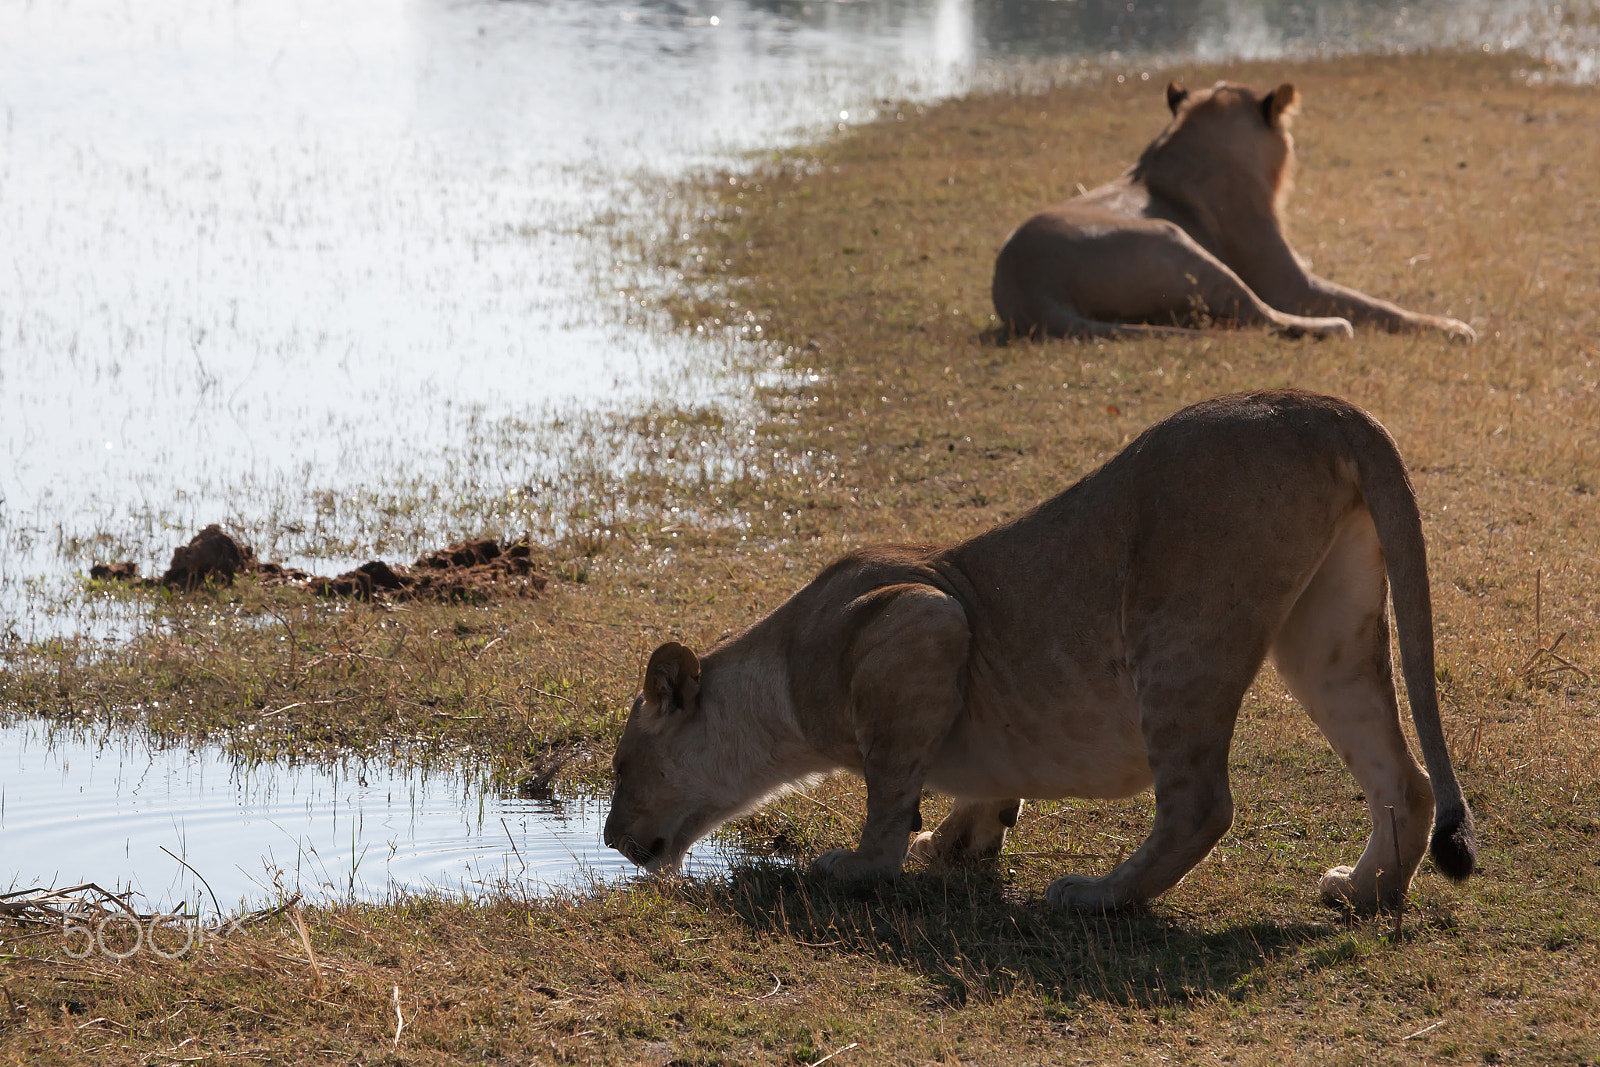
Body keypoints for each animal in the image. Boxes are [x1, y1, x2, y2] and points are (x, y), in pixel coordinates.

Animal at [604, 390, 1479, 913]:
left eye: (618, 766)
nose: (610, 839)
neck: (775, 683)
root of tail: (1322, 406)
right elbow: (976, 784)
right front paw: (960, 837)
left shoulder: (923, 619)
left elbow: (886, 792)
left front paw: (858, 865)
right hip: (1324, 636)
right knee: (1403, 777)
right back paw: (1365, 890)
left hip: (1177, 634)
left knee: (1201, 804)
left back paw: (1095, 894)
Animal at [990, 80, 1477, 342]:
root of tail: (1025, 288)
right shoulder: (1290, 282)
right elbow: (1378, 305)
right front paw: (1452, 327)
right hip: (1174, 241)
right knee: (1260, 316)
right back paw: (1333, 327)